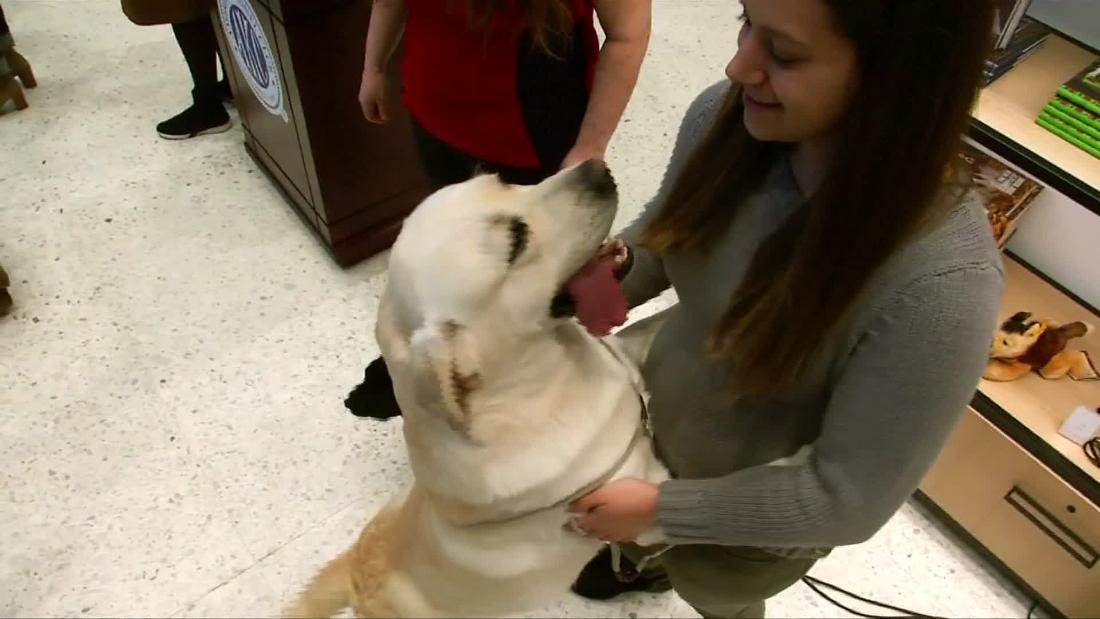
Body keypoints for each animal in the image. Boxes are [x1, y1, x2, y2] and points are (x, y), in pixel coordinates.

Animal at [283, 162, 664, 615]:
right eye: (515, 240)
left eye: (503, 181)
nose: (597, 167)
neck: (545, 375)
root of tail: (357, 571)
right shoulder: (632, 504)